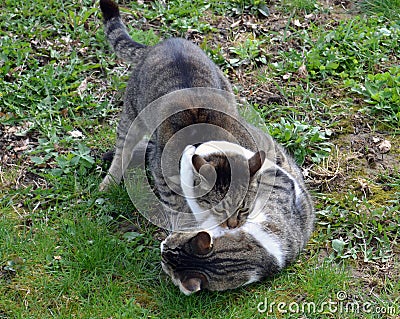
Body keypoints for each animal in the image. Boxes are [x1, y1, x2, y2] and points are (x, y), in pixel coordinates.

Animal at [98, 0, 314, 296]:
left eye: (244, 210)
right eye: (222, 211)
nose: (232, 226)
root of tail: (164, 42)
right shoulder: (165, 178)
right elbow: (175, 208)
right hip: (131, 116)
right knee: (123, 150)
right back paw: (108, 182)